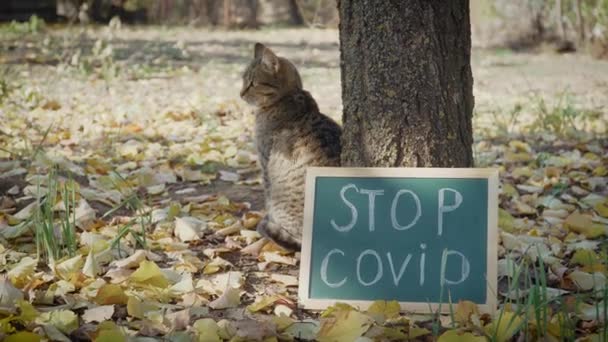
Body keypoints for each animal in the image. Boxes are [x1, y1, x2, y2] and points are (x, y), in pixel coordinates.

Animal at [239, 43, 342, 251]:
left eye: (252, 83)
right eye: (243, 80)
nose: (240, 93)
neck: (291, 95)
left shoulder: (265, 163)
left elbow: (268, 198)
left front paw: (267, 219)